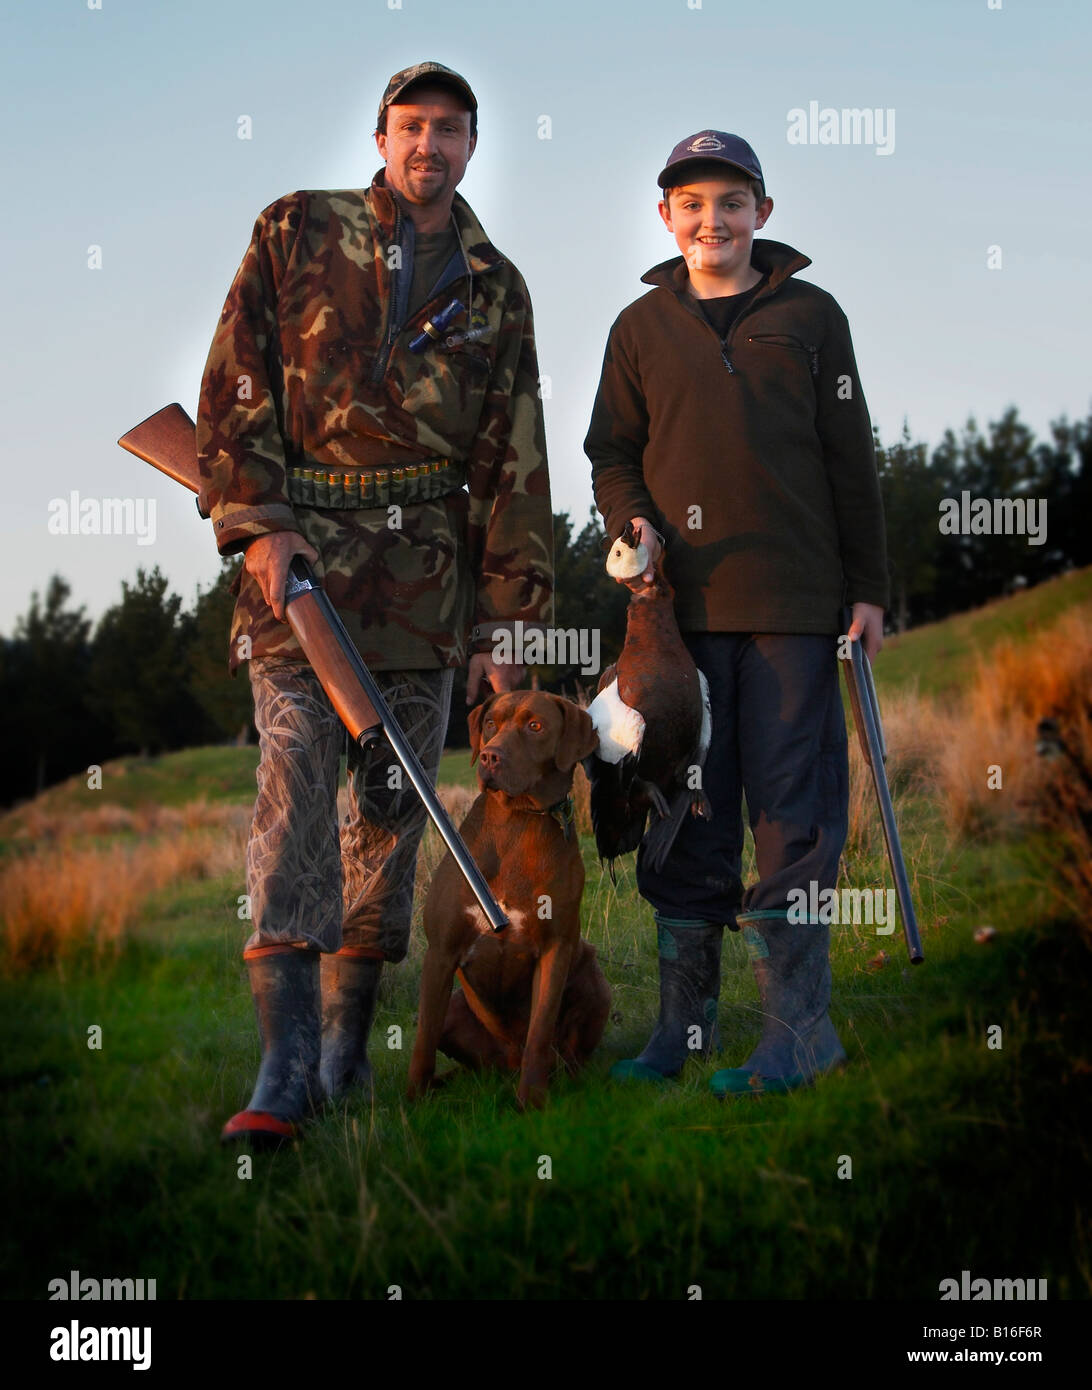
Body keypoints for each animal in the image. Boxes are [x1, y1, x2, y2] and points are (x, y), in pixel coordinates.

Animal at [408, 692, 608, 1106]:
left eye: (535, 726)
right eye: (490, 724)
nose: (489, 756)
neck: (517, 820)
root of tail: (505, 1063)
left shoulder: (555, 949)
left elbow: (539, 1032)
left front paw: (531, 1102)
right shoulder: (440, 952)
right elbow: (423, 1041)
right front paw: (413, 1101)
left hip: (594, 977)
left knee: (565, 1053)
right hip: (458, 1011)